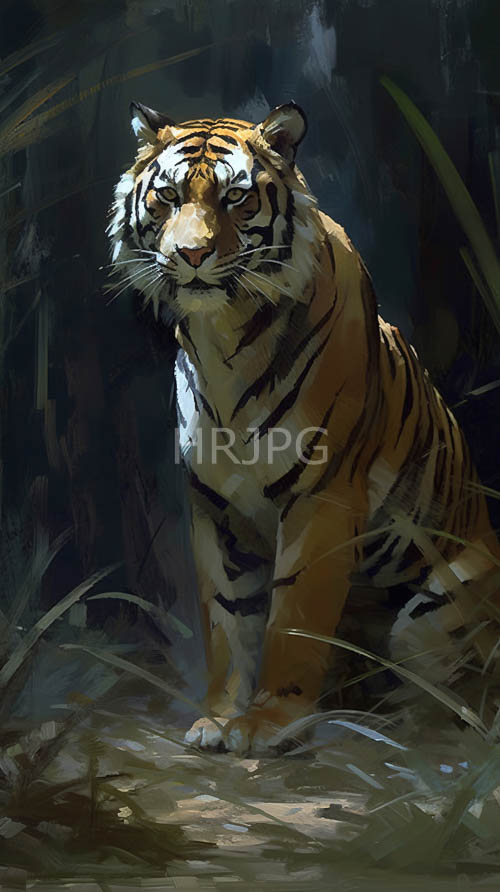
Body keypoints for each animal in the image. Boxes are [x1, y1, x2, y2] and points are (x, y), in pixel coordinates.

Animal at [107, 99, 500, 754]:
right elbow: (226, 620)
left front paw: (267, 724)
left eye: (235, 197)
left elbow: (294, 619)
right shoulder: (214, 503)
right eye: (166, 196)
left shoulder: (324, 495)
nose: (191, 255)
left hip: (433, 616)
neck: (223, 339)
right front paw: (218, 718)